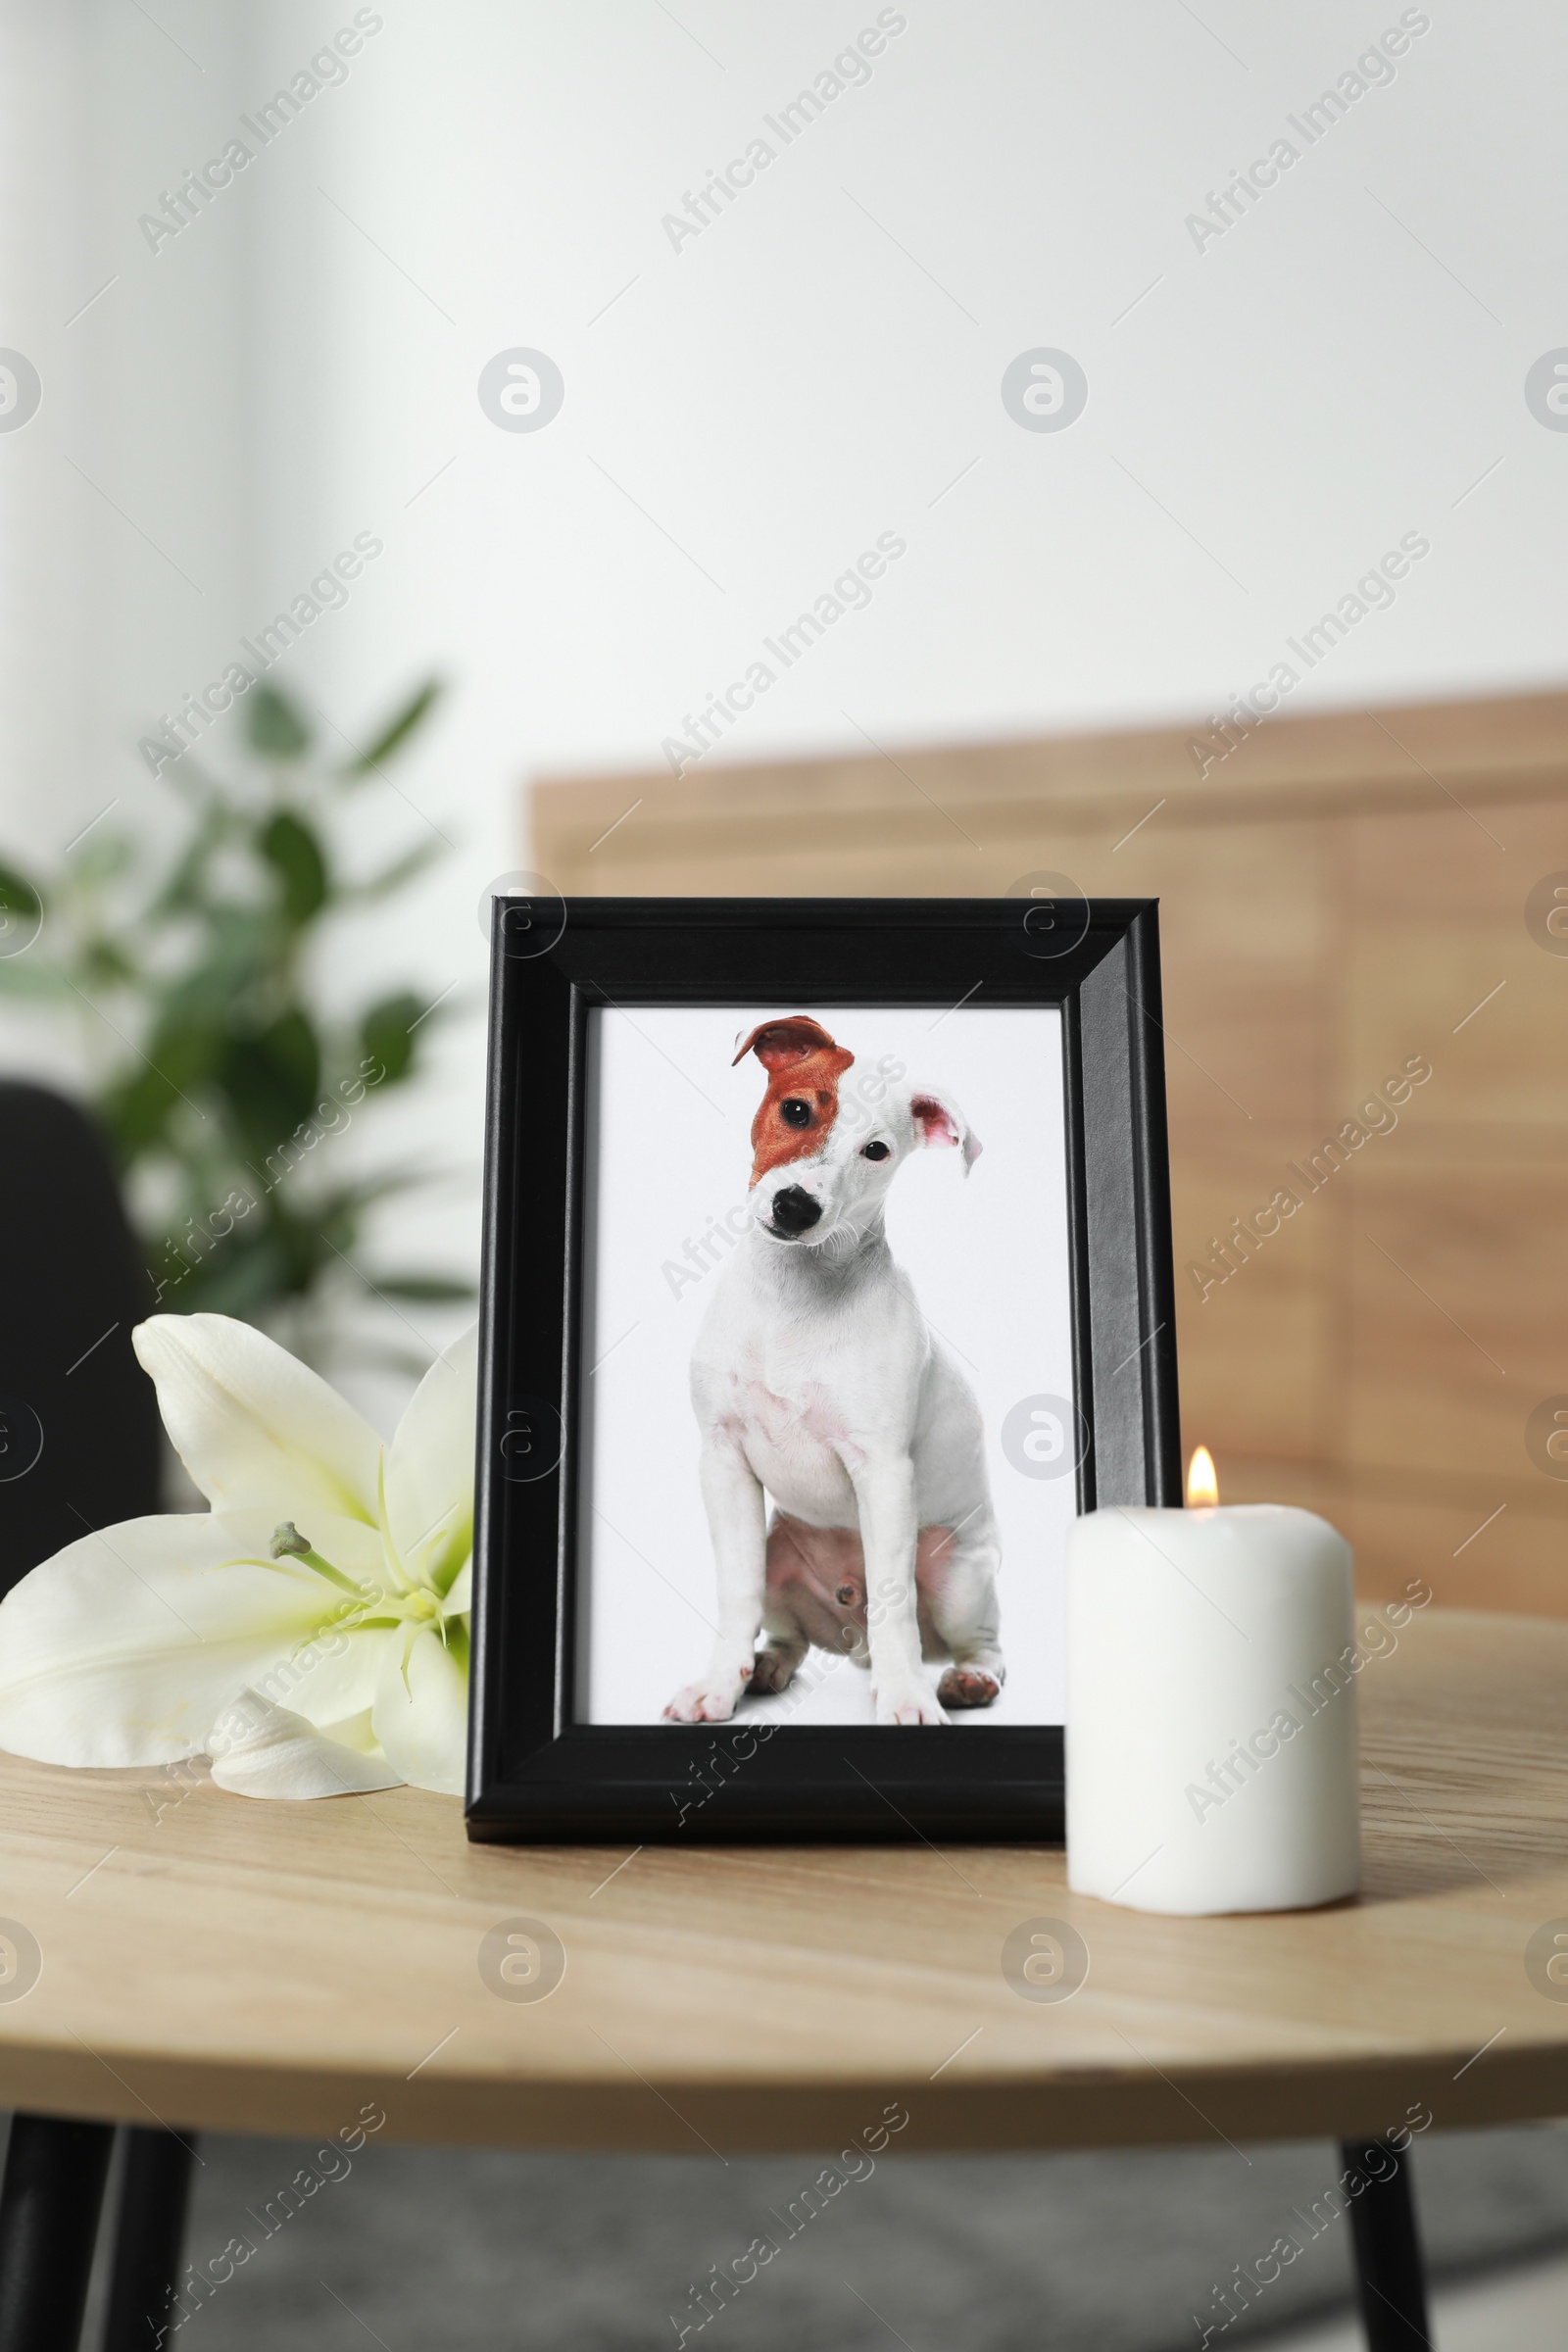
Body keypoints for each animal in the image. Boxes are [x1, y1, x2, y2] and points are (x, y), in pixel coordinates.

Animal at [662, 1011, 1005, 1731]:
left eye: (875, 1151)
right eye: (796, 1110)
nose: (796, 1206)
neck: (794, 1300)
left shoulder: (885, 1474)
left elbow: (895, 1600)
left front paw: (906, 1700)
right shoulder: (723, 1462)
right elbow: (734, 1592)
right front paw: (717, 1686)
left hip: (958, 1574)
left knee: (978, 1639)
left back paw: (967, 1680)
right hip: (780, 1558)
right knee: (787, 1634)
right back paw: (765, 1668)